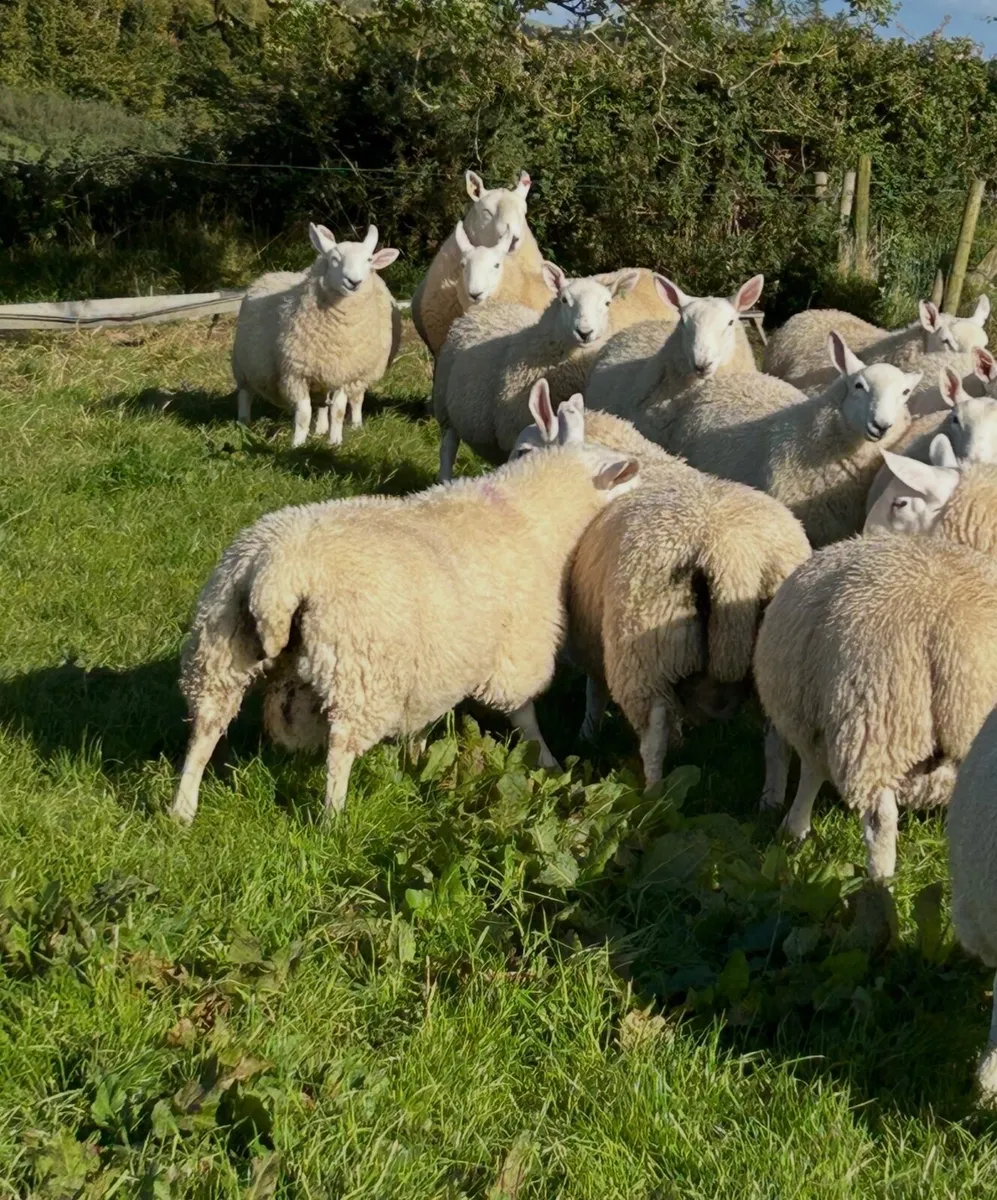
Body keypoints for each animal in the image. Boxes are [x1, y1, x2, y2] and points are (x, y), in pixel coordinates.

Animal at [168, 391, 641, 824]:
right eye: (622, 475)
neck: (531, 511)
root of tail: (277, 574)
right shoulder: (517, 648)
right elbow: (524, 715)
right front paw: (548, 762)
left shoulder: (435, 664)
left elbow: (423, 722)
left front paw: (416, 758)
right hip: (357, 672)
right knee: (340, 750)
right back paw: (333, 819)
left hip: (219, 648)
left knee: (204, 730)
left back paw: (182, 811)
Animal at [232, 223, 401, 447]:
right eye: (334, 259)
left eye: (369, 260)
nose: (354, 281)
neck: (338, 333)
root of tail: (269, 275)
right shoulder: (296, 373)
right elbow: (303, 413)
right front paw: (297, 444)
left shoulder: (343, 373)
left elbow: (337, 411)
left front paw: (335, 441)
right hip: (242, 365)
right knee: (245, 394)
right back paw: (243, 423)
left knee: (327, 404)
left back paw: (323, 430)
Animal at [432, 263, 640, 479]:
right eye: (564, 300)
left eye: (607, 303)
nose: (584, 332)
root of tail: (487, 307)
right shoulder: (512, 430)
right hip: (444, 406)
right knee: (448, 448)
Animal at [754, 530, 997, 881]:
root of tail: (950, 634)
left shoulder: (811, 721)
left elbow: (802, 767)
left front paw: (788, 822)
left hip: (875, 724)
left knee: (879, 821)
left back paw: (881, 882)